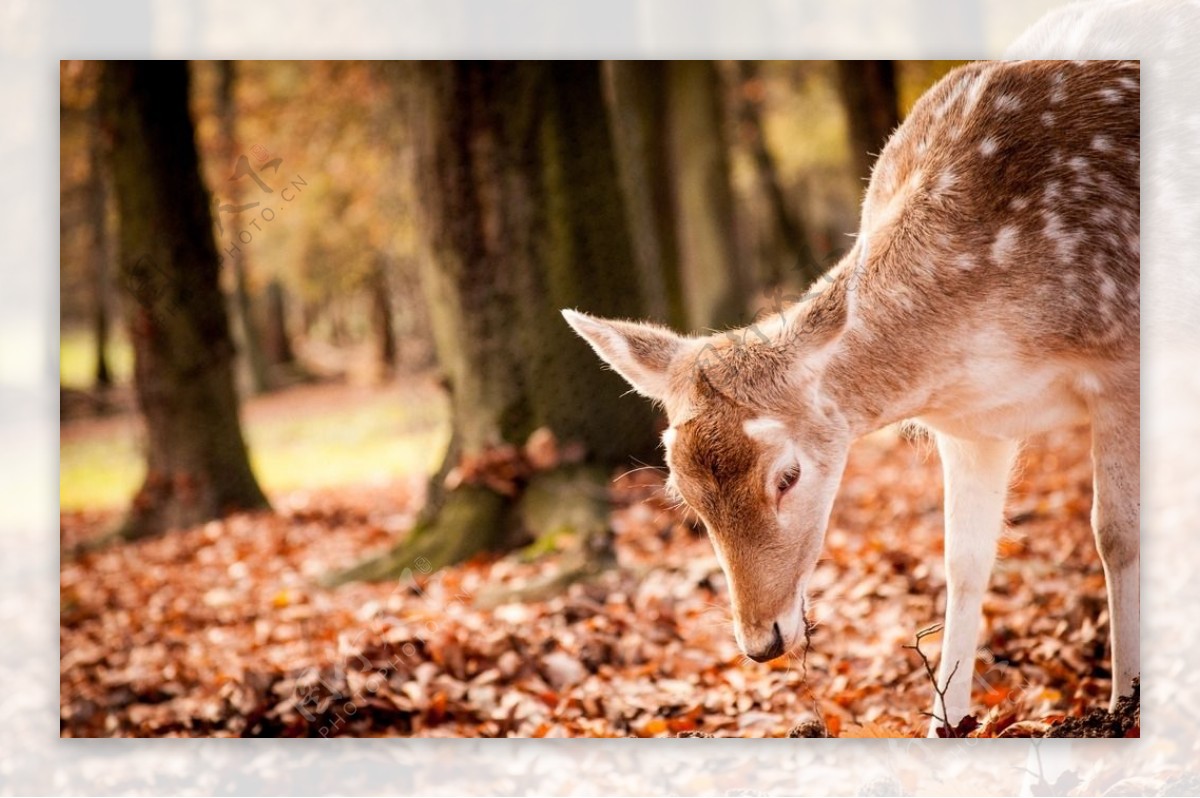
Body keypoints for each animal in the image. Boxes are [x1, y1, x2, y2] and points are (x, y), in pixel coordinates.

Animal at [564, 60, 1142, 734]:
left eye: (787, 476)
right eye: (683, 493)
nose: (761, 643)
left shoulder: (1121, 365)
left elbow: (1116, 534)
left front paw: (1123, 707)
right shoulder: (972, 425)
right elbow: (964, 561)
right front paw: (943, 724)